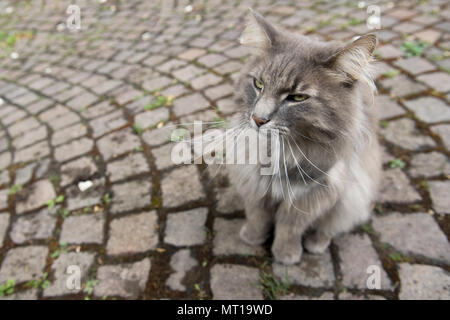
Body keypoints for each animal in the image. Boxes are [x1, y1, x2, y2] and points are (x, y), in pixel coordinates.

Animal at [229, 10, 380, 264]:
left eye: (297, 98)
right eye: (258, 84)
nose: (258, 119)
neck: (278, 152)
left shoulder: (311, 193)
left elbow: (289, 226)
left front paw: (286, 255)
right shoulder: (254, 182)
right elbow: (257, 215)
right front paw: (252, 238)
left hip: (353, 197)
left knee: (332, 225)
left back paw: (316, 243)